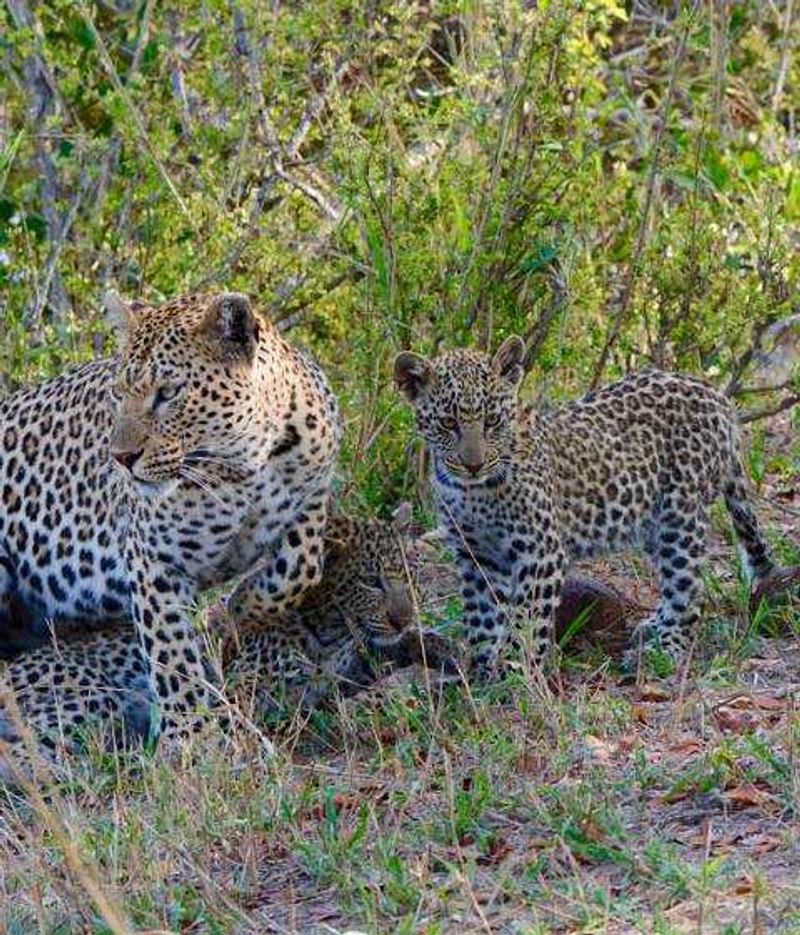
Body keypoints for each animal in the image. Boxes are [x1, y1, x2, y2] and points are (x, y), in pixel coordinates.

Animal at [0, 290, 340, 750]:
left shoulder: (313, 499)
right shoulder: (152, 557)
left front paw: (236, 613)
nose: (121, 458)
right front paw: (196, 736)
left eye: (168, 392)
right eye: (117, 393)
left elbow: (299, 567)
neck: (243, 466)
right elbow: (171, 649)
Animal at [0, 506, 454, 781]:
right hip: (89, 696)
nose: (402, 616)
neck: (330, 629)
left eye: (407, 572)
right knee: (18, 751)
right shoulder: (245, 690)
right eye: (371, 581)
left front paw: (445, 650)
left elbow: (398, 649)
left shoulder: (351, 660)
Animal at [395, 336, 776, 675]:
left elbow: (527, 620)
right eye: (448, 423)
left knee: (688, 590)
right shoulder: (477, 556)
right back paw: (653, 626)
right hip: (654, 522)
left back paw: (664, 650)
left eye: (492, 420)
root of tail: (715, 394)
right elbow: (483, 620)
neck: (472, 492)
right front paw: (482, 670)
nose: (473, 464)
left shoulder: (540, 553)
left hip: (680, 516)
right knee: (674, 583)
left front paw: (516, 670)